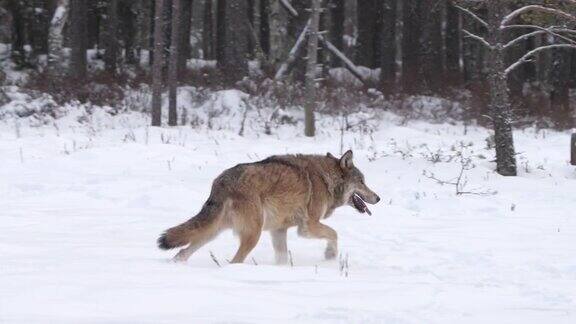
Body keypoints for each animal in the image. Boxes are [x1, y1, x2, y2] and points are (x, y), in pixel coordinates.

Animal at [160, 151, 380, 264]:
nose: (378, 198)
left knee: (182, 252)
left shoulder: (278, 230)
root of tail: (221, 182)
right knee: (235, 261)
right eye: (362, 182)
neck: (325, 179)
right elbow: (334, 234)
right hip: (252, 235)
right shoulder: (308, 227)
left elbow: (282, 257)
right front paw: (330, 256)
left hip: (211, 233)